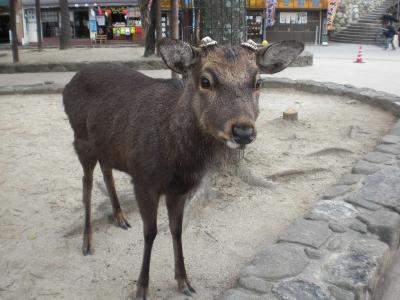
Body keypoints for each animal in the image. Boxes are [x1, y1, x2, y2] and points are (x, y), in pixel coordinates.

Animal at [63, 38, 304, 300]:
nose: (243, 132)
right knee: (86, 185)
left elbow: (177, 230)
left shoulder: (180, 189)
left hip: (106, 147)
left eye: (258, 81)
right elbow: (150, 232)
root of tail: (70, 82)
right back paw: (87, 242)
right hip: (80, 140)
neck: (179, 162)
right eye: (205, 80)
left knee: (107, 171)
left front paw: (184, 281)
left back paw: (120, 218)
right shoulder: (143, 180)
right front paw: (142, 288)